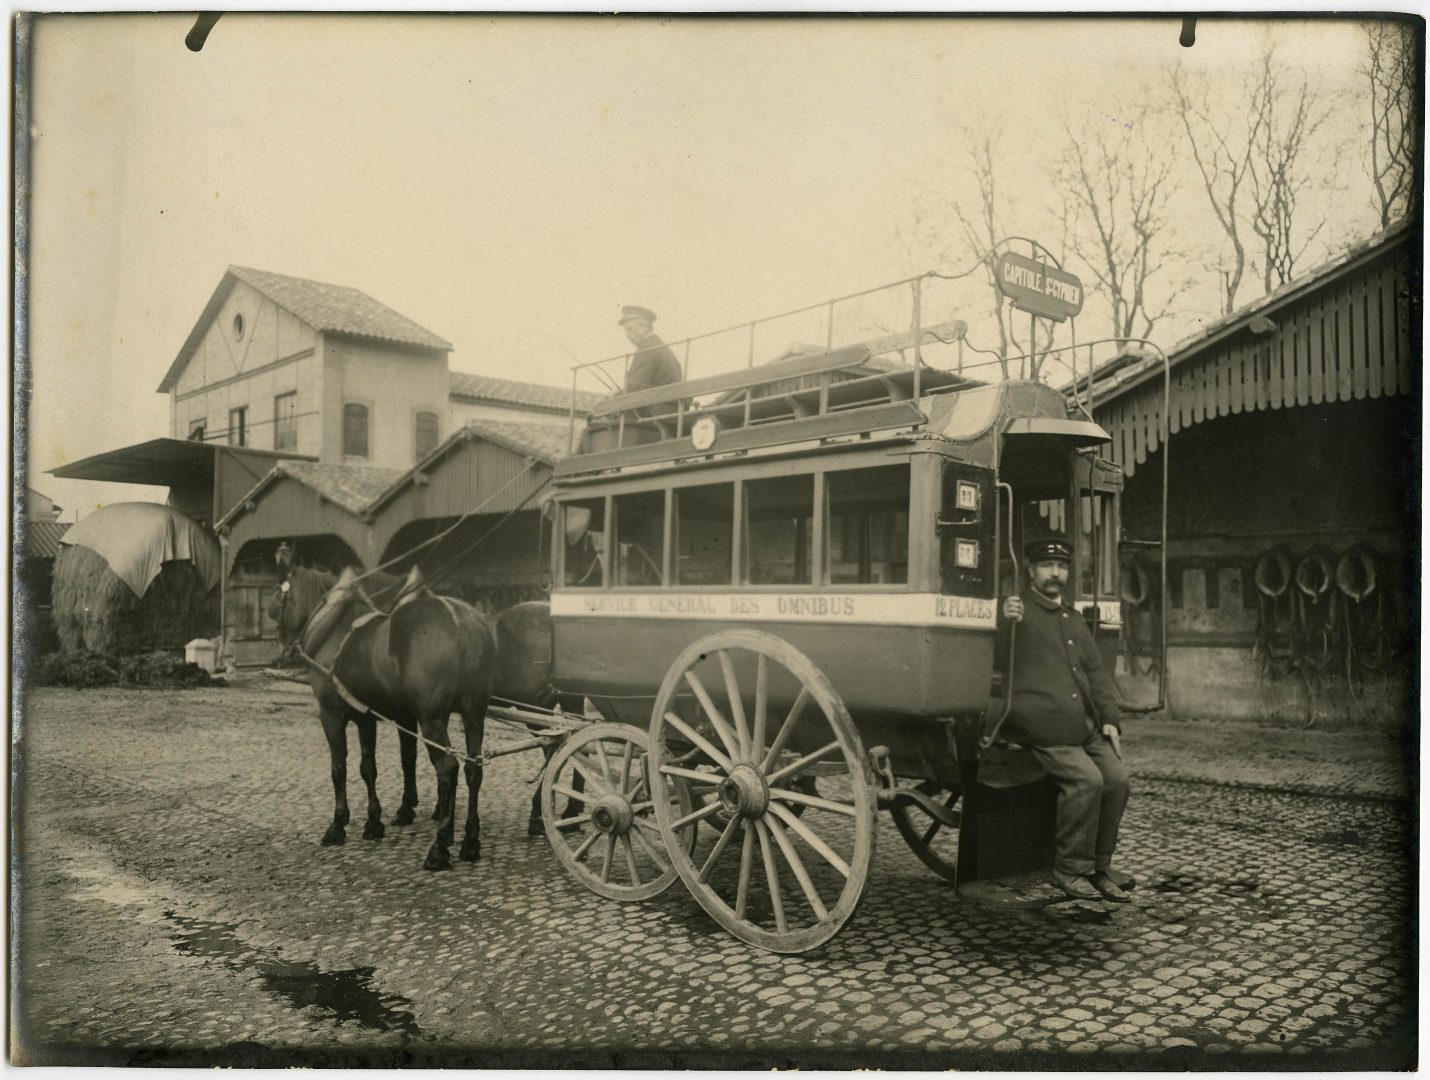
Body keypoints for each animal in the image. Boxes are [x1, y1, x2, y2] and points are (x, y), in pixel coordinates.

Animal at [271, 566, 497, 869]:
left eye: (280, 596)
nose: (280, 645)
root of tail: (462, 623)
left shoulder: (331, 715)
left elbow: (338, 769)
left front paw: (338, 825)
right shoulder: (367, 718)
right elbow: (370, 768)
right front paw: (374, 822)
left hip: (433, 719)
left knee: (448, 769)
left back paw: (439, 847)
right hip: (473, 715)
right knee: (474, 768)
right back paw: (470, 842)